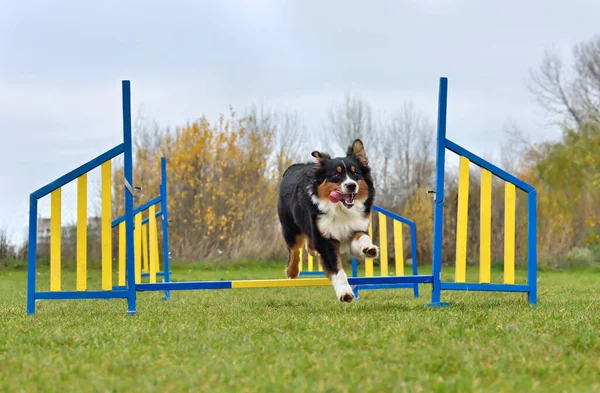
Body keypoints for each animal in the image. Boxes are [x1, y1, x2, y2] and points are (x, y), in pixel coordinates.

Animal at [276, 139, 378, 302]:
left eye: (355, 173)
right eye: (336, 174)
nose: (351, 185)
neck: (341, 209)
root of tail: (294, 167)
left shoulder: (356, 226)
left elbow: (362, 237)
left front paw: (369, 249)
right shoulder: (325, 239)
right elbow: (337, 269)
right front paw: (345, 292)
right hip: (290, 227)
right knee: (294, 249)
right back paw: (292, 271)